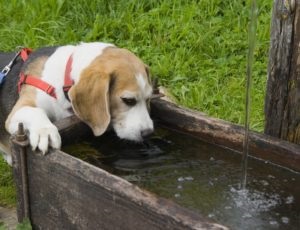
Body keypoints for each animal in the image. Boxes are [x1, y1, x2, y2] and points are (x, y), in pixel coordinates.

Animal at [0, 42, 154, 164]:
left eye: (148, 98)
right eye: (128, 100)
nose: (148, 133)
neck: (62, 80)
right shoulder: (18, 111)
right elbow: (35, 111)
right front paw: (45, 131)